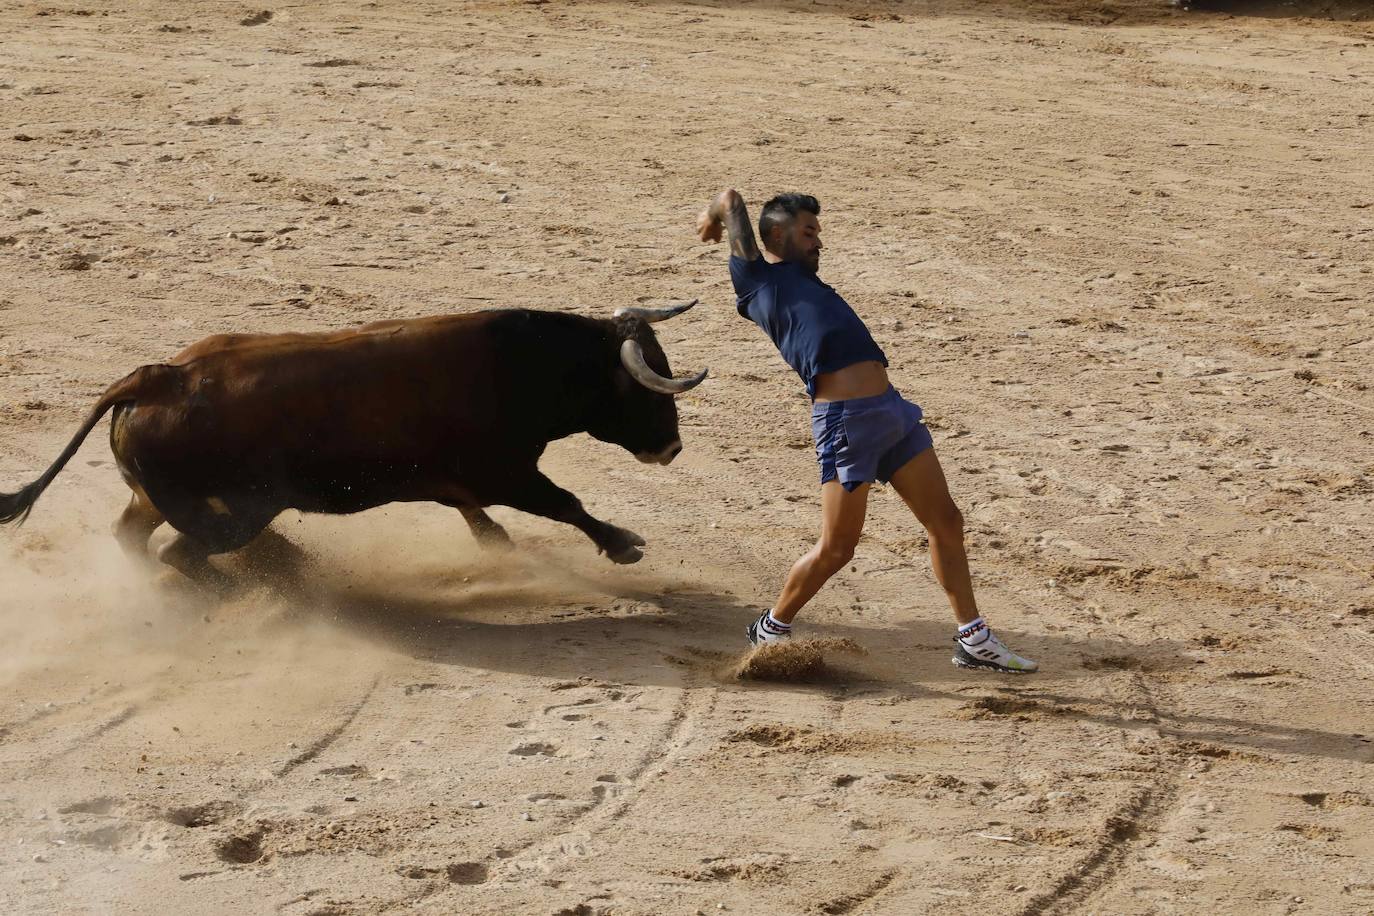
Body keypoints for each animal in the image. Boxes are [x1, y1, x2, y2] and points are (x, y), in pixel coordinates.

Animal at [0, 298, 703, 590]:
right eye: (647, 390)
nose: (671, 448)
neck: (524, 367)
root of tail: (157, 376)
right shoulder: (506, 473)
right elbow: (565, 503)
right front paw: (623, 545)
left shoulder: (456, 482)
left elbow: (481, 521)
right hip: (235, 511)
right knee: (185, 552)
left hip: (158, 497)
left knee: (135, 538)